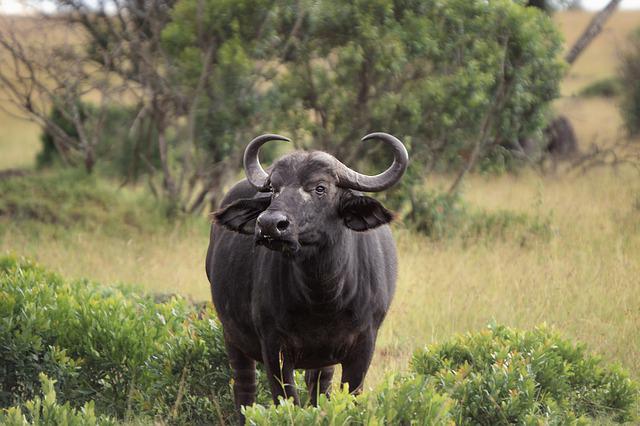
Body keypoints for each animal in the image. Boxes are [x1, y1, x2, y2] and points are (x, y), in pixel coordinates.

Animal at [206, 132, 410, 420]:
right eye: (274, 189)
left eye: (319, 188)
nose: (269, 224)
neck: (323, 297)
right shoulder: (274, 349)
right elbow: (286, 400)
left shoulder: (363, 346)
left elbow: (350, 397)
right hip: (232, 338)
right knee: (244, 390)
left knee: (319, 388)